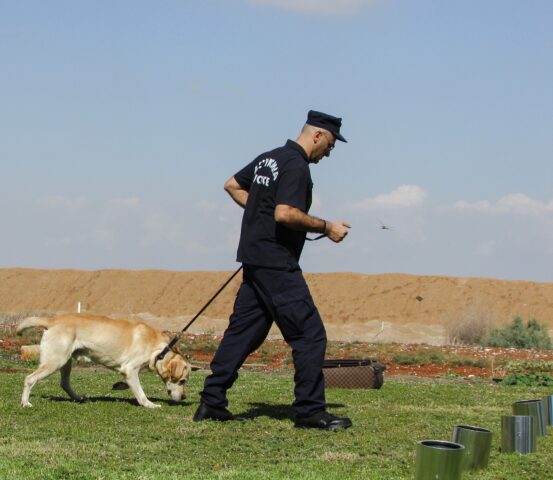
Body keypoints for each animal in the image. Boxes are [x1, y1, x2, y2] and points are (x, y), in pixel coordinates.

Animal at [16, 316, 196, 408]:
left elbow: (131, 384)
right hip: (56, 361)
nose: (184, 397)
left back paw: (78, 397)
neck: (160, 349)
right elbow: (140, 392)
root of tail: (52, 321)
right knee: (29, 379)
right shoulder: (130, 368)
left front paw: (120, 385)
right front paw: (149, 404)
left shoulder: (128, 372)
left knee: (64, 383)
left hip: (66, 361)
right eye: (182, 381)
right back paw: (25, 402)